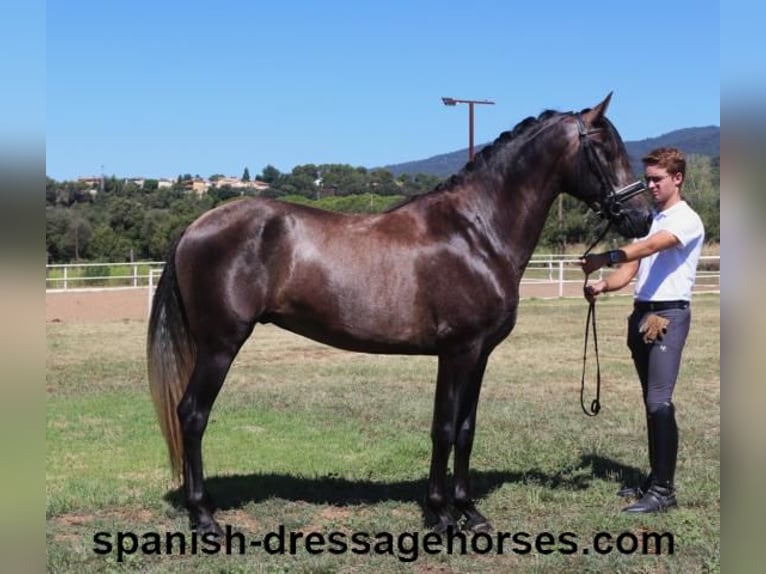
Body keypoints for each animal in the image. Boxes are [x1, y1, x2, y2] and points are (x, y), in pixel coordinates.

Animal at [147, 92, 652, 536]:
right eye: (604, 148)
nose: (642, 218)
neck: (476, 233)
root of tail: (193, 228)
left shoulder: (480, 355)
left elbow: (466, 430)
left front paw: (470, 511)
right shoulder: (457, 351)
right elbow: (443, 428)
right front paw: (441, 514)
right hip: (220, 346)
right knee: (192, 415)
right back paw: (204, 517)